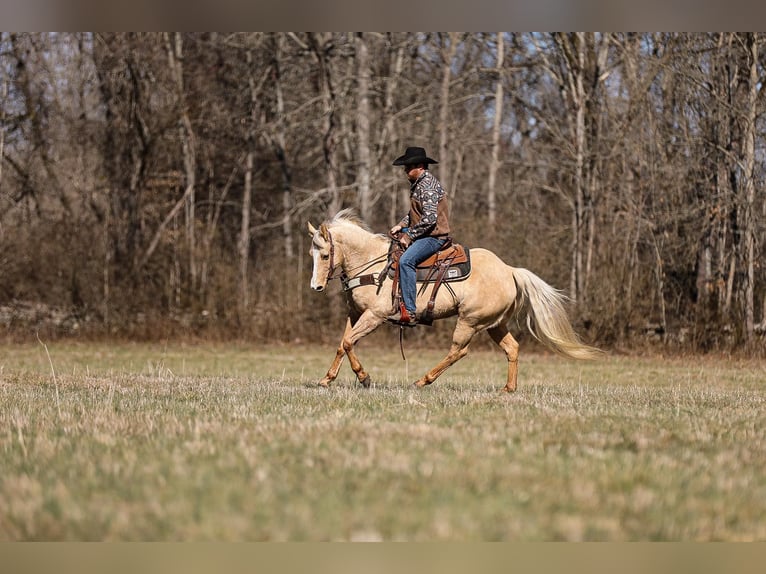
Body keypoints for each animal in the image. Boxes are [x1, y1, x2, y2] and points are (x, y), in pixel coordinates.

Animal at [306, 209, 600, 394]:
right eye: (312, 253)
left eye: (324, 255)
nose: (316, 287)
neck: (373, 264)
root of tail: (509, 270)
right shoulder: (356, 313)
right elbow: (343, 343)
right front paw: (328, 379)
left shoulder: (374, 316)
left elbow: (347, 342)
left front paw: (363, 378)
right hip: (495, 325)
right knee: (512, 348)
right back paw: (508, 388)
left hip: (470, 321)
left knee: (458, 351)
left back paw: (422, 381)